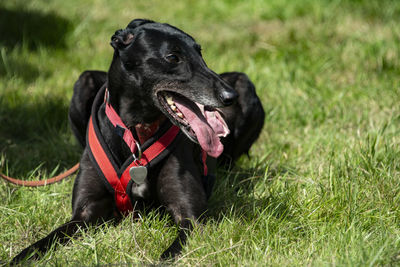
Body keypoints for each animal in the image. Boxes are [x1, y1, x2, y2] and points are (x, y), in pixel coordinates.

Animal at [10, 19, 262, 266]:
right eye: (173, 57)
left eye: (200, 53)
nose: (229, 97)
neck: (137, 133)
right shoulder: (83, 215)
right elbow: (43, 242)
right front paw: (19, 257)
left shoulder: (191, 219)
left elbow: (168, 255)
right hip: (84, 82)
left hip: (244, 86)